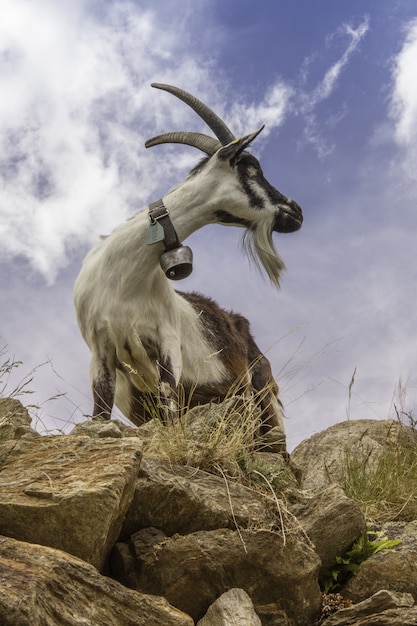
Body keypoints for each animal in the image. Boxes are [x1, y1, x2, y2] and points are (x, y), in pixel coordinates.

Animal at [74, 83, 302, 454]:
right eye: (251, 168)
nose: (296, 211)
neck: (124, 281)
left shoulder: (166, 341)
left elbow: (169, 408)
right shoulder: (101, 351)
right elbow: (100, 412)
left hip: (261, 393)